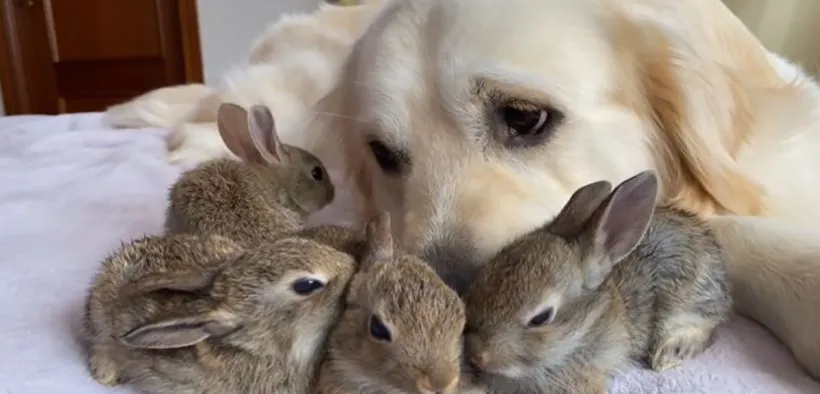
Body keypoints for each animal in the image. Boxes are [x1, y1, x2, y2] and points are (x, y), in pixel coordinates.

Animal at [462, 170, 732, 394]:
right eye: (479, 281)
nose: (477, 354)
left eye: (541, 318)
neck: (581, 333)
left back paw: (669, 353)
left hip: (686, 298)